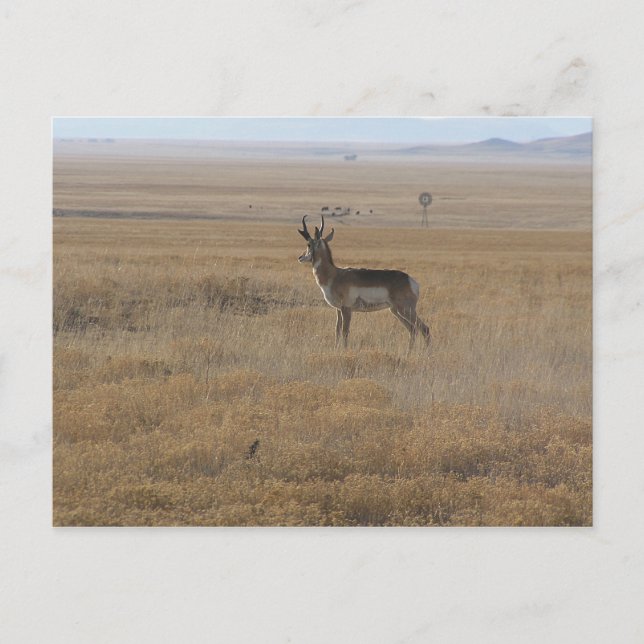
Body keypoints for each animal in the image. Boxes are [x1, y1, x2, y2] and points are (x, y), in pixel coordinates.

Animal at [297, 215, 431, 350]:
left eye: (308, 244)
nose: (300, 257)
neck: (335, 275)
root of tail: (411, 281)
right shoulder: (338, 310)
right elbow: (337, 330)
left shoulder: (346, 309)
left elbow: (345, 332)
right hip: (395, 311)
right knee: (413, 329)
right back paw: (409, 352)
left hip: (405, 310)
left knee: (424, 329)